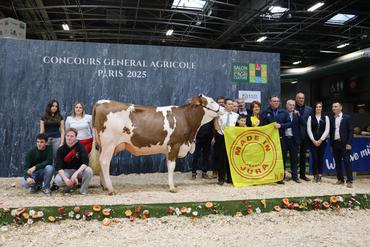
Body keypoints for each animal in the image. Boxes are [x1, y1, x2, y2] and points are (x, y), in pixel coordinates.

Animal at [92, 93, 225, 194]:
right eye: (211, 101)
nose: (223, 109)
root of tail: (100, 102)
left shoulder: (168, 149)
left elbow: (168, 166)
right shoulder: (174, 145)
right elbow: (172, 166)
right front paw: (172, 187)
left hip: (103, 145)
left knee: (100, 161)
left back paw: (104, 186)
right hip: (109, 143)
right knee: (104, 162)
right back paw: (111, 189)